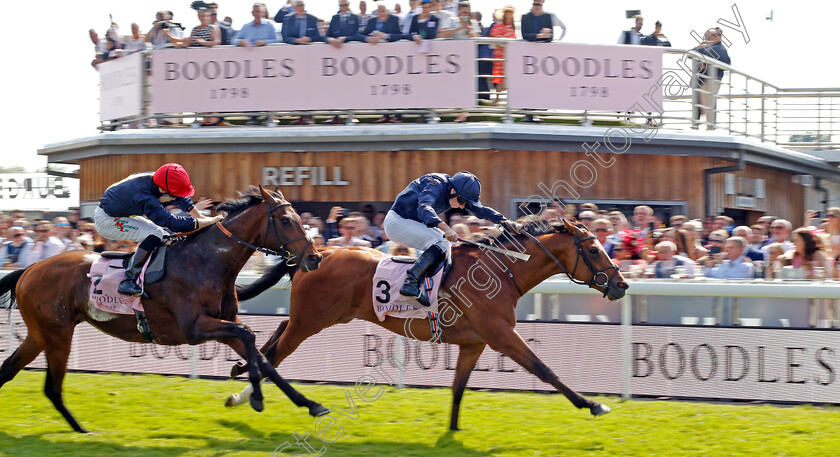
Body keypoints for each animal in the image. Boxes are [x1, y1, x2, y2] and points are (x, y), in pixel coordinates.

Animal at [0, 185, 328, 432]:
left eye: (299, 217)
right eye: (285, 220)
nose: (315, 258)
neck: (207, 261)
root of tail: (29, 270)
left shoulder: (223, 326)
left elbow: (263, 358)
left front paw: (311, 404)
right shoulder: (195, 328)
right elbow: (248, 335)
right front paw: (255, 395)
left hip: (40, 333)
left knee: (9, 370)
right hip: (57, 335)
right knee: (52, 387)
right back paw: (82, 430)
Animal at [226, 216, 628, 428]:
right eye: (594, 250)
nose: (622, 284)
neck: (501, 270)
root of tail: (315, 252)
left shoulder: (474, 342)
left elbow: (458, 388)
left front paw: (452, 431)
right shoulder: (501, 335)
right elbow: (545, 369)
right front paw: (593, 404)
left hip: (313, 318)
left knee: (273, 341)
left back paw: (241, 381)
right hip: (309, 321)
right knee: (275, 354)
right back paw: (256, 393)